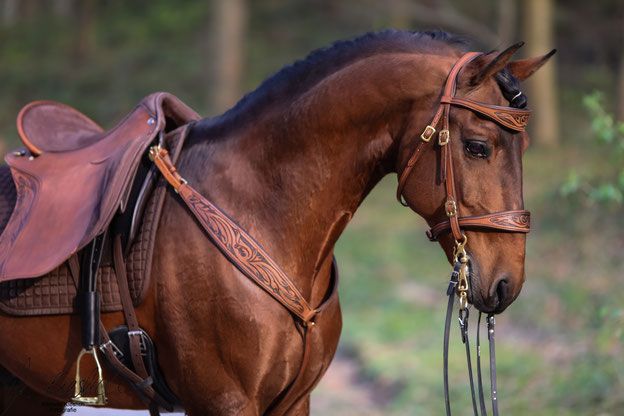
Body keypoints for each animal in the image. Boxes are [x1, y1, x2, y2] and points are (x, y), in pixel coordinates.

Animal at [0, 30, 552, 414]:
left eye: (524, 147)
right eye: (477, 147)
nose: (507, 283)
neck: (260, 209)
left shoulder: (293, 401)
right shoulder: (225, 404)